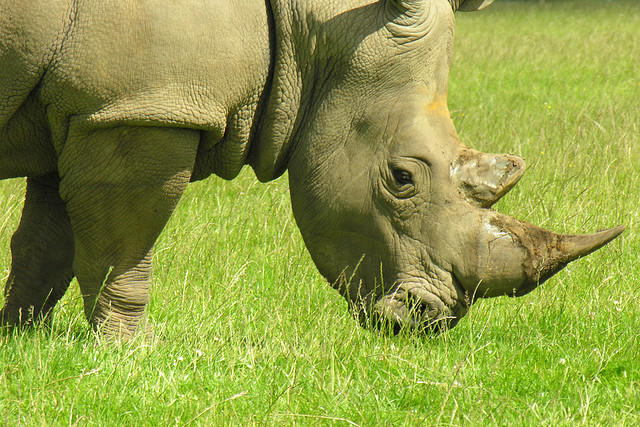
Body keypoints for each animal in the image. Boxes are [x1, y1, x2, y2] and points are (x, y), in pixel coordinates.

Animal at [0, 0, 624, 337]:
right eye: (402, 178)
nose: (428, 322)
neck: (317, 28)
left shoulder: (85, 107)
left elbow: (47, 244)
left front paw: (23, 340)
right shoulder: (141, 108)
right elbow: (121, 248)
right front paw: (132, 349)